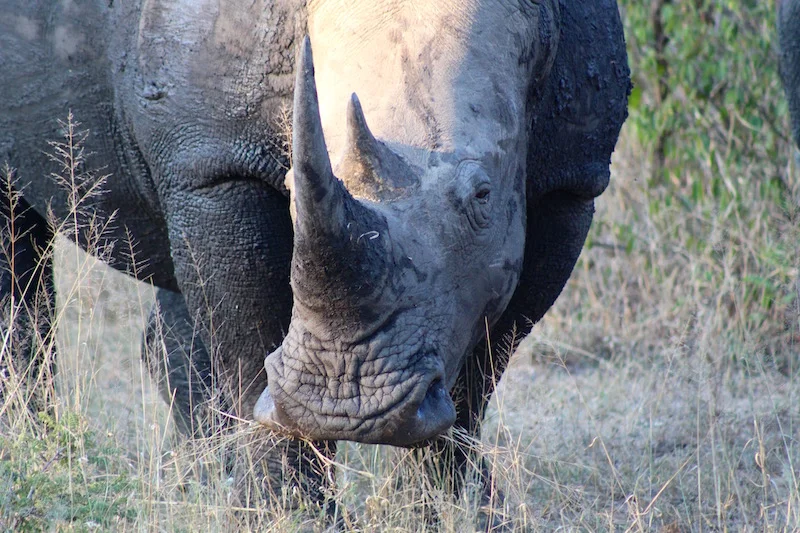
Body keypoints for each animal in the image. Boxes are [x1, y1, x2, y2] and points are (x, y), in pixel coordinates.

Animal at [1, 0, 630, 510]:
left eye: (481, 196)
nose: (347, 406)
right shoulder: (210, 162)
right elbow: (247, 340)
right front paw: (286, 511)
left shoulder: (570, 179)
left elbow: (482, 368)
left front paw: (456, 511)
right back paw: (39, 458)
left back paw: (202, 479)